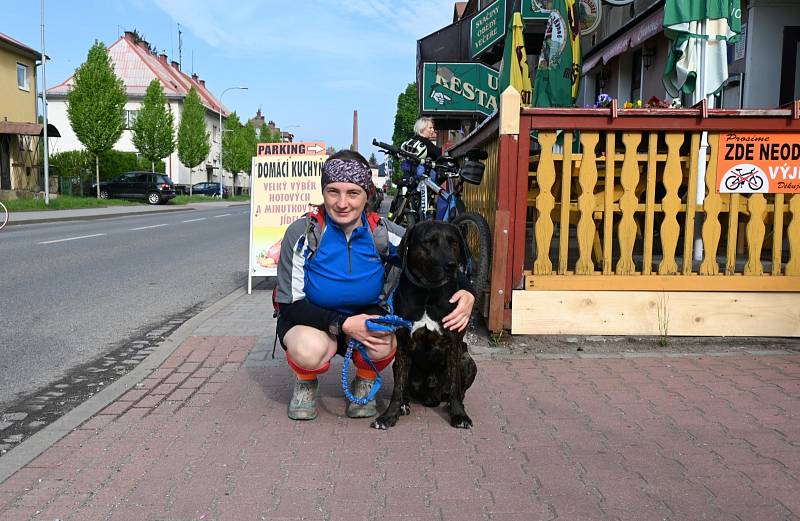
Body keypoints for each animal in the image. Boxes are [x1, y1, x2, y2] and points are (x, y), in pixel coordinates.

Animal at [374, 221, 478, 428]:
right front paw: (389, 415)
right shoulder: (403, 345)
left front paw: (459, 415)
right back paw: (404, 405)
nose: (451, 265)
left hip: (467, 359)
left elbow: (455, 386)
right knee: (404, 385)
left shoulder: (454, 345)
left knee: (458, 389)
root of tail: (432, 398)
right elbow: (398, 389)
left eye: (454, 242)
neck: (428, 293)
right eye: (428, 241)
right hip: (399, 365)